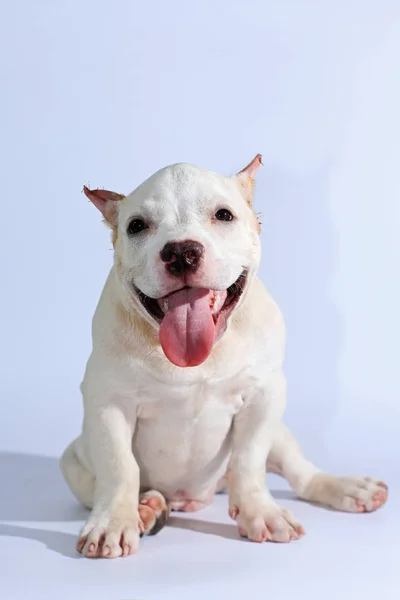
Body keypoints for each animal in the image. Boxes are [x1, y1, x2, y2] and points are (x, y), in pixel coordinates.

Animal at [60, 156, 388, 556]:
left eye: (224, 215)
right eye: (136, 225)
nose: (181, 252)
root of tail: (192, 497)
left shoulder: (265, 395)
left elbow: (248, 460)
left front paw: (261, 512)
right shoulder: (109, 403)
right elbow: (119, 466)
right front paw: (114, 524)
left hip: (281, 435)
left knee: (300, 473)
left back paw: (349, 488)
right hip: (73, 459)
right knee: (99, 483)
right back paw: (147, 508)